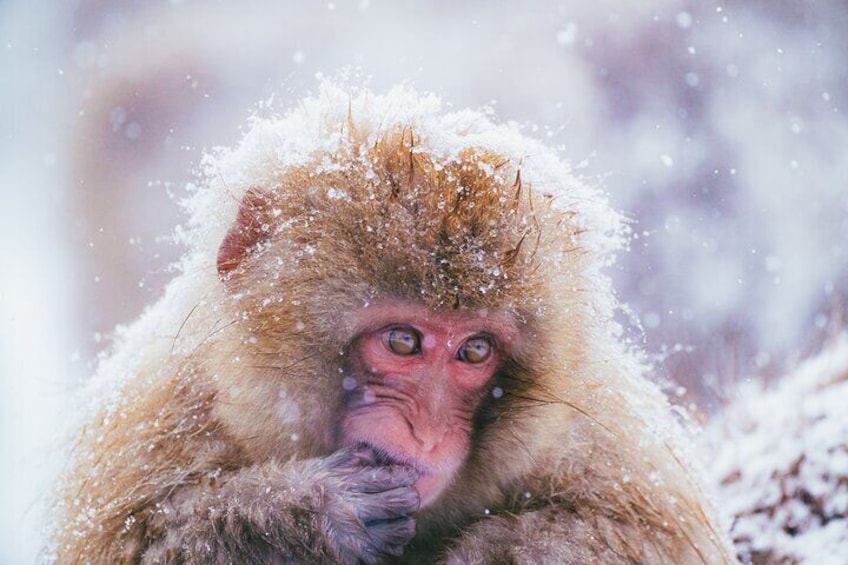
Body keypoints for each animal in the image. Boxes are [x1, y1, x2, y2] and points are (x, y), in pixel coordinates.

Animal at [49, 85, 733, 564]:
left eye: (474, 350)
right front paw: (315, 514)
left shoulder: (596, 433)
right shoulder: (160, 411)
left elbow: (645, 538)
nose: (427, 436)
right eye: (404, 341)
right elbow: (138, 539)